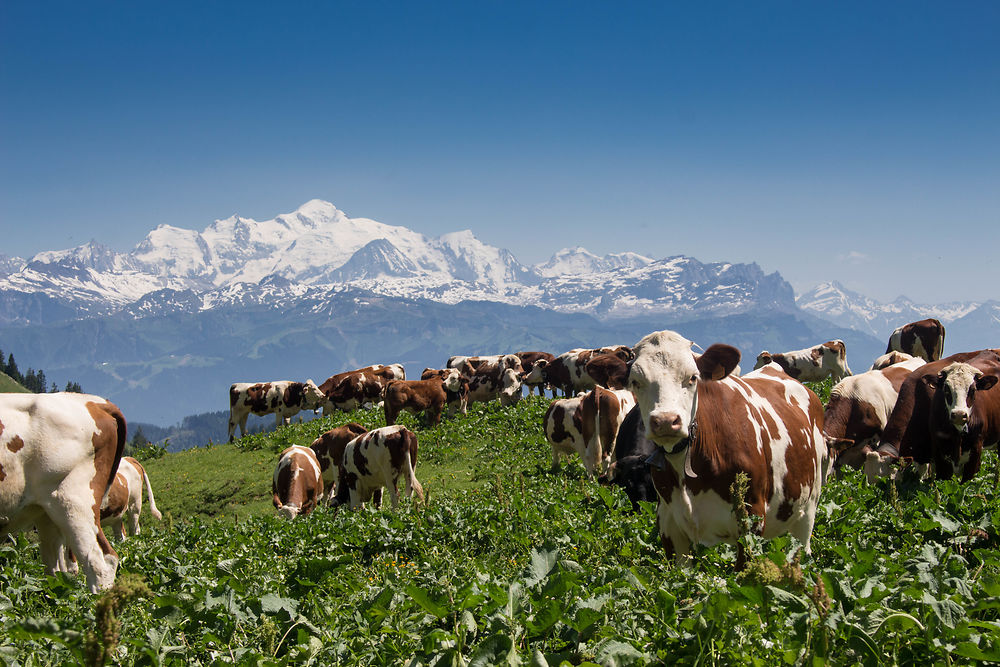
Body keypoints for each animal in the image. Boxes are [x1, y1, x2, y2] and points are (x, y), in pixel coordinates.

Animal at [624, 328, 828, 564]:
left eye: (692, 377)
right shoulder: (669, 526)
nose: (666, 420)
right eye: (635, 382)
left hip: (808, 507)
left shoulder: (751, 519)